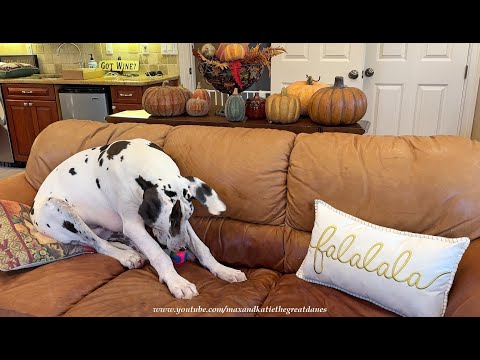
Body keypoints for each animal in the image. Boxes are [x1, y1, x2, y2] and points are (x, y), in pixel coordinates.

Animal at [29, 138, 246, 298]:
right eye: (171, 221)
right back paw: (128, 256)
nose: (182, 248)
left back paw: (135, 252)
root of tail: (32, 212)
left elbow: (202, 247)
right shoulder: (133, 225)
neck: (144, 160)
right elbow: (158, 255)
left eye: (186, 217)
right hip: (59, 210)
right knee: (99, 244)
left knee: (110, 240)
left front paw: (223, 270)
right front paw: (176, 281)